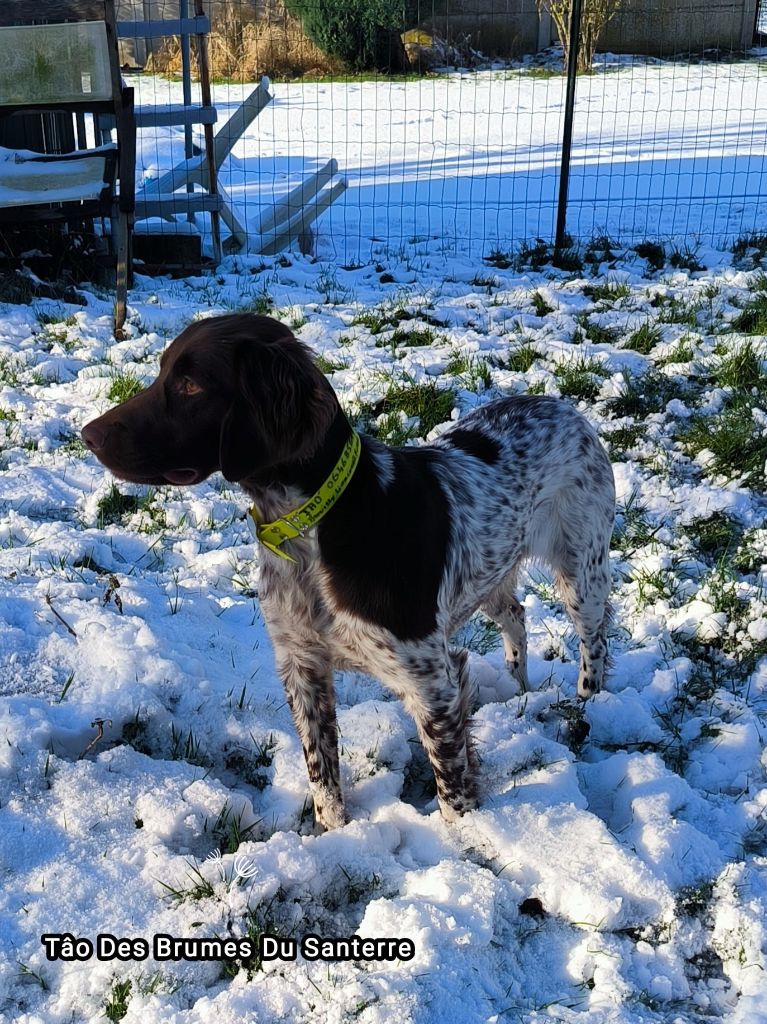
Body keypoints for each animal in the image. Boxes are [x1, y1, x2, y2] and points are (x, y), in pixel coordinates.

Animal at [80, 313, 614, 831]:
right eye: (163, 372)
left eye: (191, 385)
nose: (88, 434)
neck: (309, 529)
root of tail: (564, 407)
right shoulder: (302, 665)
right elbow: (323, 777)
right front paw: (334, 833)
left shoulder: (432, 682)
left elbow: (452, 791)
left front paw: (468, 840)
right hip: (488, 577)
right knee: (516, 614)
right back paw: (518, 687)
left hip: (581, 572)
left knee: (595, 640)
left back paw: (586, 704)